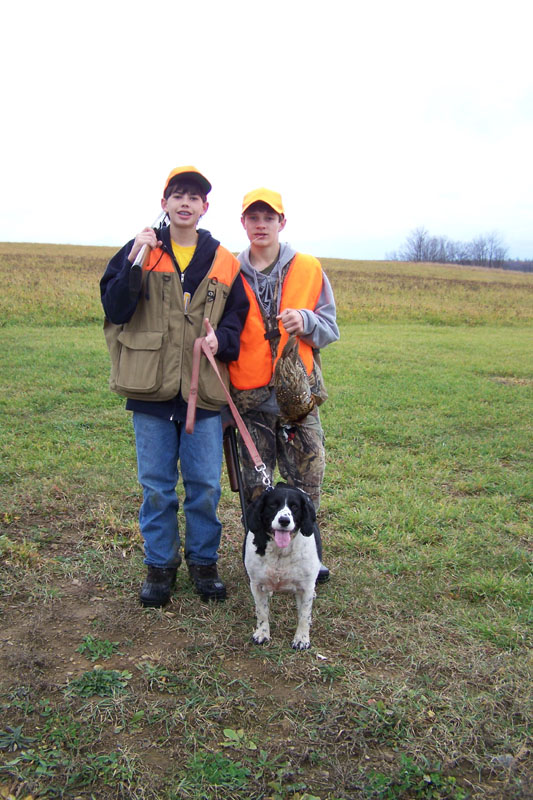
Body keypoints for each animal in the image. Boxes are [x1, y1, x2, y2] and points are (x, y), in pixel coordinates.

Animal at [243, 483, 320, 650]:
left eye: (295, 507)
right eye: (272, 505)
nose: (284, 520)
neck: (280, 552)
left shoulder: (305, 588)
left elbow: (304, 615)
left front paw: (302, 639)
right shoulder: (256, 585)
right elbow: (262, 612)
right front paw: (262, 633)